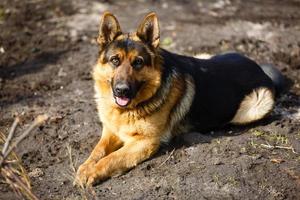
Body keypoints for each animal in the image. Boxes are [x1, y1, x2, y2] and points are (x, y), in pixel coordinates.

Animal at [75, 11, 284, 186]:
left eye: (138, 63)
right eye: (115, 60)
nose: (122, 91)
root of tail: (260, 68)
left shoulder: (145, 142)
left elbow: (112, 158)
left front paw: (93, 172)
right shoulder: (111, 131)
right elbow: (98, 151)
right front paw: (85, 167)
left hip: (257, 104)